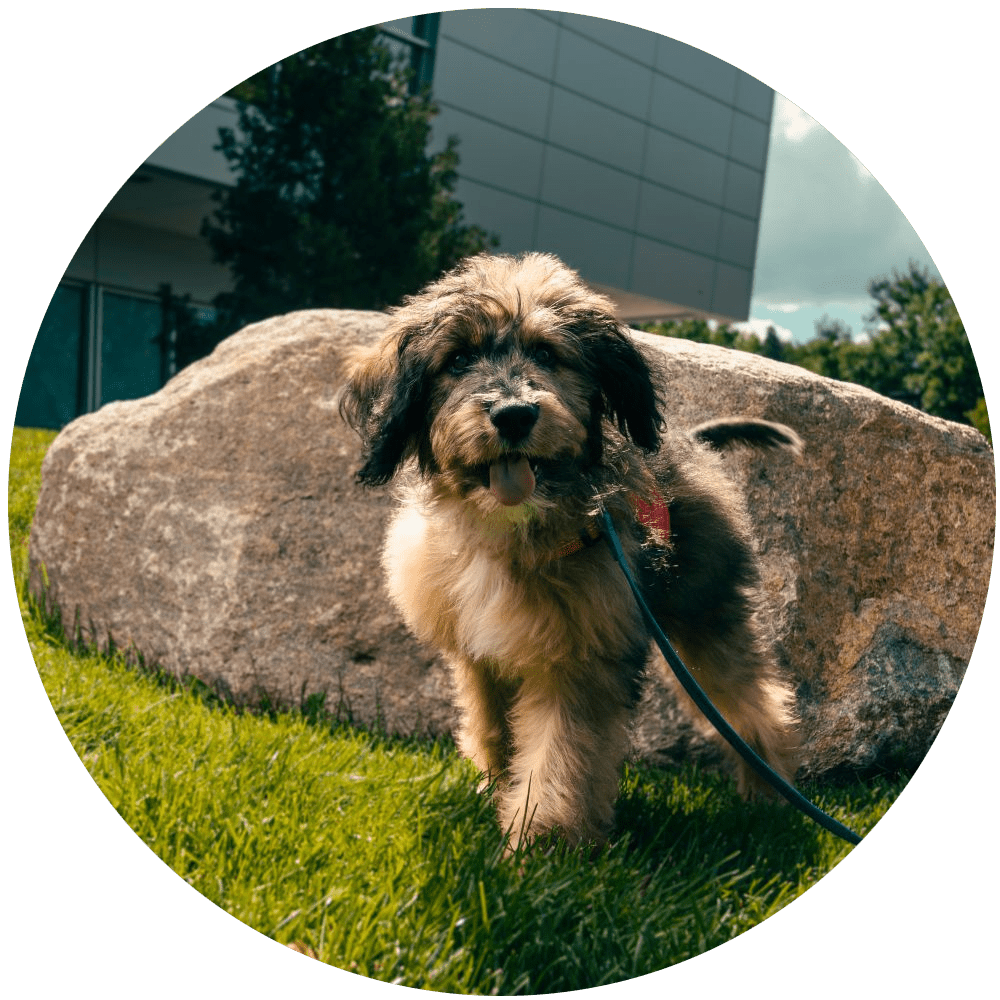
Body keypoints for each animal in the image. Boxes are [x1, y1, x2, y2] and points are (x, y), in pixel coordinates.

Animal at [340, 254, 800, 848]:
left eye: (546, 353)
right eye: (458, 359)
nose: (514, 415)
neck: (507, 530)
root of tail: (693, 446)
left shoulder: (580, 658)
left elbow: (562, 754)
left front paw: (542, 840)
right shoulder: (479, 654)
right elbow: (494, 728)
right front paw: (496, 790)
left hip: (705, 614)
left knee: (755, 702)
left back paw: (770, 795)